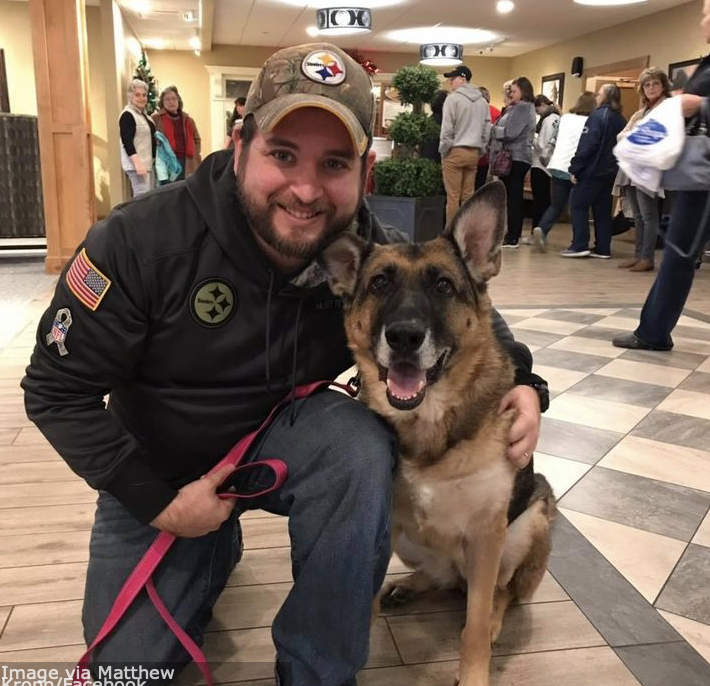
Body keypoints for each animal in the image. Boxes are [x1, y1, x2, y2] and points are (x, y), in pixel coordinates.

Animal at [320, 183, 560, 686]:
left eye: (443, 285)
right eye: (380, 283)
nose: (404, 337)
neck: (431, 421)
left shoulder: (488, 534)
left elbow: (474, 625)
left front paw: (474, 672)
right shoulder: (386, 524)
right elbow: (364, 602)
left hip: (526, 525)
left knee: (500, 593)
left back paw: (492, 617)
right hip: (411, 543)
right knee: (443, 578)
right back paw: (411, 586)